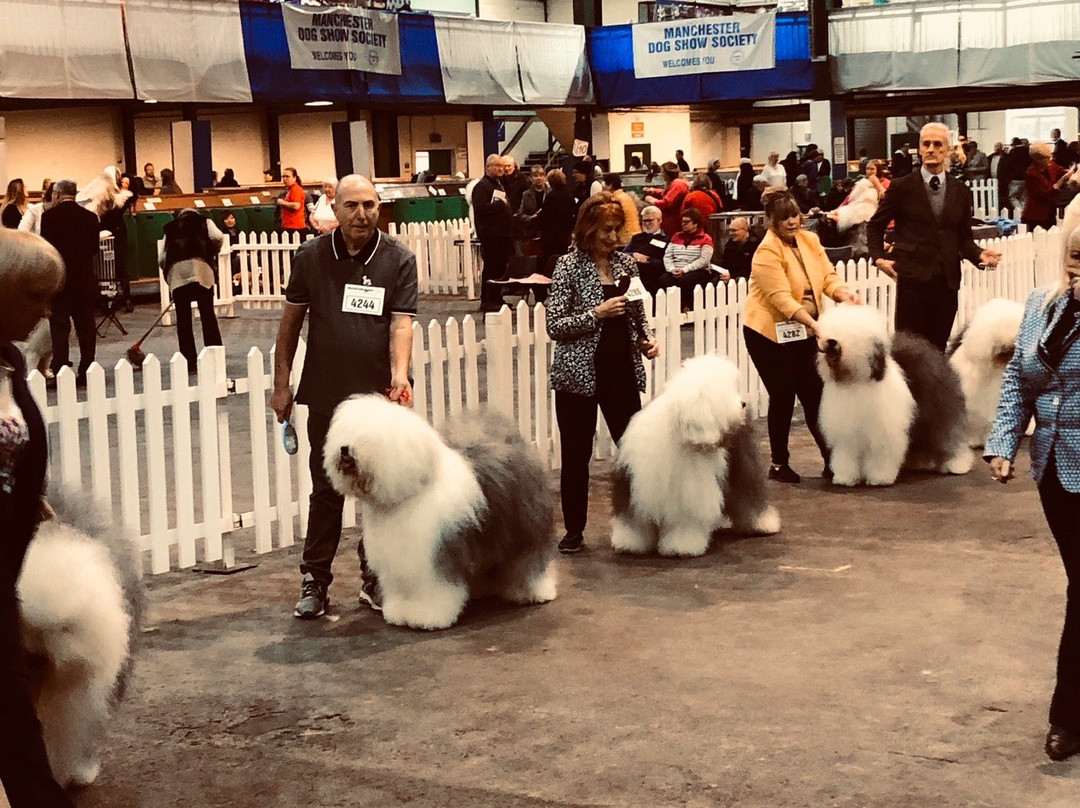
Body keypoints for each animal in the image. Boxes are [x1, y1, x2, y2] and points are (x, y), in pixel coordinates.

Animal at [319, 395, 557, 630]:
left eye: (368, 435)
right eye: (345, 430)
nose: (344, 448)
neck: (406, 497)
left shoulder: (433, 560)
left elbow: (433, 592)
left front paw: (427, 617)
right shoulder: (397, 563)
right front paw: (399, 612)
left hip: (524, 530)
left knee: (526, 563)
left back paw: (534, 592)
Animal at [613, 356, 781, 557]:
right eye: (721, 394)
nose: (742, 404)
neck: (680, 436)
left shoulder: (689, 497)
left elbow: (685, 524)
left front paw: (681, 546)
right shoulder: (637, 488)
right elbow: (635, 522)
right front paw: (630, 543)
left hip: (743, 468)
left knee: (748, 496)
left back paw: (762, 524)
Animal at [812, 304, 976, 486]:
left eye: (852, 333)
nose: (831, 341)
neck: (856, 381)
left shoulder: (882, 432)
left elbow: (880, 456)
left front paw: (879, 477)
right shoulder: (847, 435)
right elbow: (846, 456)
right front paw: (845, 477)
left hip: (940, 414)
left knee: (949, 438)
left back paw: (957, 465)